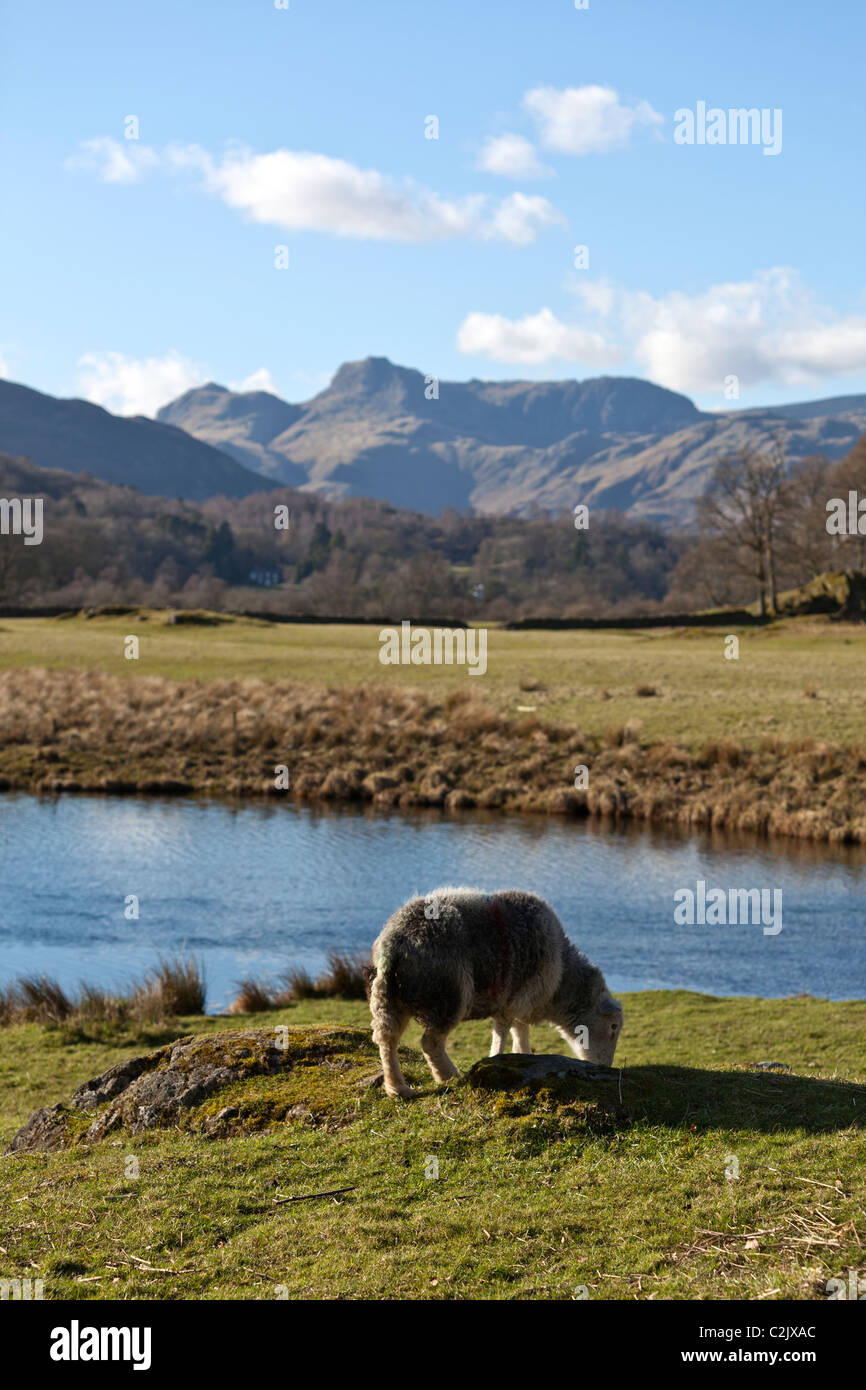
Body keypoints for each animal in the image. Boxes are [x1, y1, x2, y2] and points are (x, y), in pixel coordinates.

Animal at [366, 889, 622, 1095]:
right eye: (613, 1027)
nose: (605, 1067)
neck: (562, 977)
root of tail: (397, 941)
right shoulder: (515, 999)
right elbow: (504, 1032)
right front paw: (498, 1057)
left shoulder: (519, 1001)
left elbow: (519, 1031)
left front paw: (522, 1055)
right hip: (447, 996)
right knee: (430, 1042)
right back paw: (448, 1076)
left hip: (389, 997)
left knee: (387, 1038)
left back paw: (398, 1088)